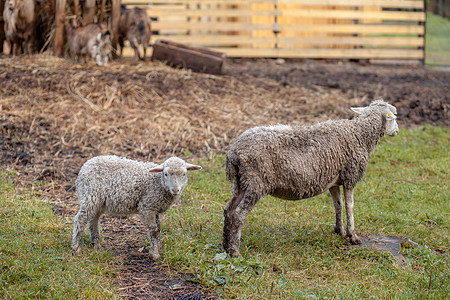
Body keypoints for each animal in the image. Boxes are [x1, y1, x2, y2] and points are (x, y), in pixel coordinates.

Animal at [72, 156, 202, 258]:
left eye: (184, 174)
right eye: (166, 174)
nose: (175, 190)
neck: (158, 183)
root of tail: (85, 165)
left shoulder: (155, 208)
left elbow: (158, 228)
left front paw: (159, 247)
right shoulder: (147, 206)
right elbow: (154, 230)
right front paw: (155, 254)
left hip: (99, 202)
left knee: (93, 221)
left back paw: (96, 245)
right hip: (90, 195)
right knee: (80, 219)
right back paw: (76, 248)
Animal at [223, 99, 400, 256]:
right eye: (394, 116)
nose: (397, 131)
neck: (360, 134)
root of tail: (234, 152)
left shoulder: (334, 181)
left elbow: (338, 205)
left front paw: (340, 231)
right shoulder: (350, 176)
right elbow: (350, 206)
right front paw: (353, 236)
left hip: (241, 183)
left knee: (228, 211)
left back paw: (226, 246)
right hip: (256, 182)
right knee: (238, 215)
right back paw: (235, 251)